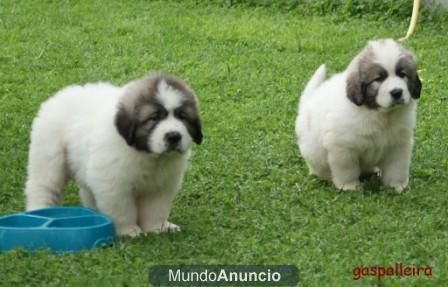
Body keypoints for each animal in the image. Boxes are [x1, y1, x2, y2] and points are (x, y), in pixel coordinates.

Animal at [25, 73, 204, 237]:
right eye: (153, 118)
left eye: (182, 117)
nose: (173, 136)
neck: (147, 155)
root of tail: (59, 96)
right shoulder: (113, 184)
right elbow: (122, 209)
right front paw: (129, 231)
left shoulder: (162, 185)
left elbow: (156, 209)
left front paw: (157, 228)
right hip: (49, 156)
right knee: (43, 186)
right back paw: (39, 213)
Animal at [296, 39, 422, 192]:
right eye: (378, 79)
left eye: (402, 74)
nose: (397, 92)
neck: (380, 115)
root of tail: (307, 102)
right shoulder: (343, 147)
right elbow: (347, 170)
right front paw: (349, 186)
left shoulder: (398, 144)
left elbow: (396, 168)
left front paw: (397, 185)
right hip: (313, 151)